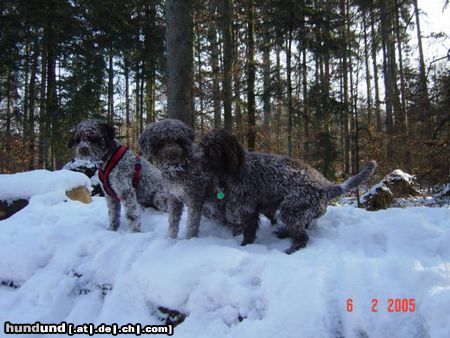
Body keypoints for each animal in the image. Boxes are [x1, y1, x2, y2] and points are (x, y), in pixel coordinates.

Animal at [200, 129, 376, 254]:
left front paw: (245, 246)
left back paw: (291, 248)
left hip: (290, 209)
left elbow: (248, 231)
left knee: (302, 236)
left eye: (213, 152)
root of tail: (326, 187)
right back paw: (284, 233)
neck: (238, 169)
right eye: (203, 148)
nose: (199, 164)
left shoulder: (247, 208)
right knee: (303, 226)